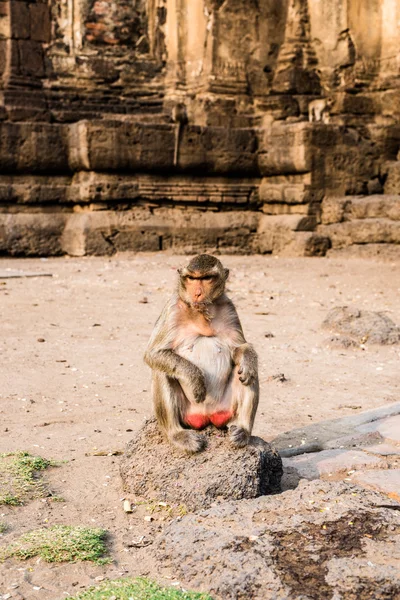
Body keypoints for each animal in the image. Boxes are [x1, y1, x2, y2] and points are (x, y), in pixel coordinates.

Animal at [145, 254, 260, 454]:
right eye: (192, 278)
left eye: (207, 278)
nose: (197, 293)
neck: (201, 312)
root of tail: (207, 418)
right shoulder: (172, 309)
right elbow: (154, 354)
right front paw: (195, 378)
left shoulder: (229, 308)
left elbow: (239, 349)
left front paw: (247, 358)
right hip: (186, 413)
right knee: (161, 371)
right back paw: (176, 434)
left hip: (226, 408)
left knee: (249, 374)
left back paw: (243, 431)